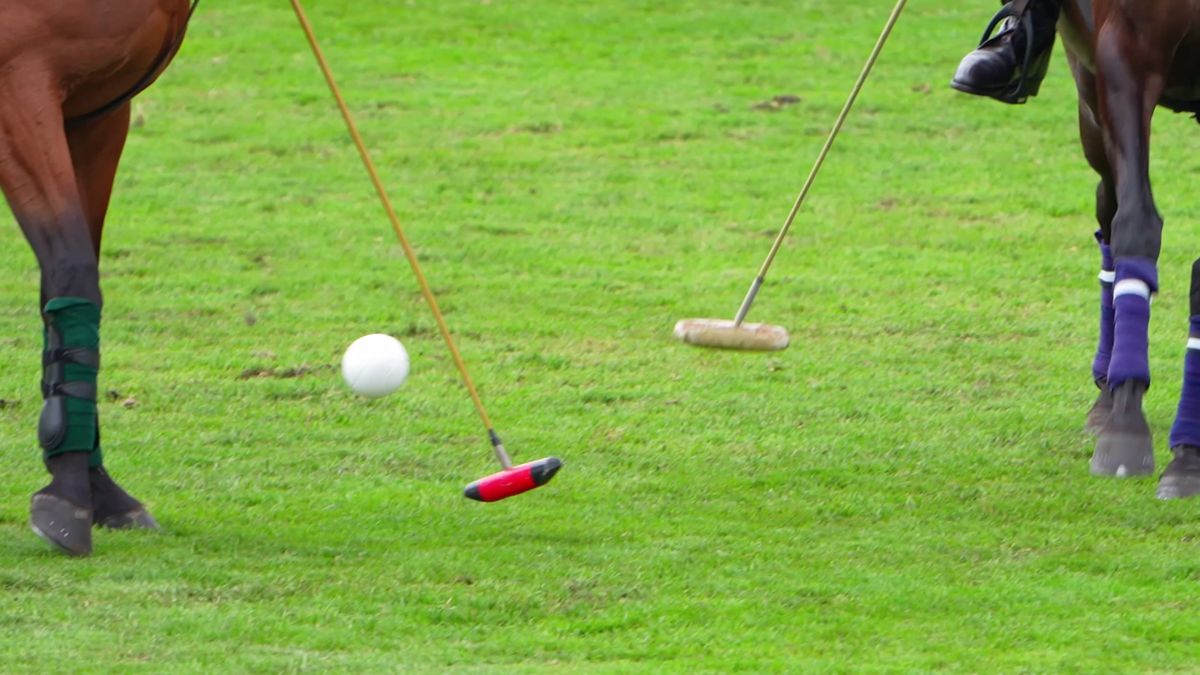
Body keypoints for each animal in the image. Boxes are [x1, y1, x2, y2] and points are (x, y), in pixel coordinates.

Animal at [0, 0, 196, 555]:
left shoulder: (97, 116)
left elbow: (59, 291)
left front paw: (99, 490)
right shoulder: (18, 86)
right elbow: (72, 268)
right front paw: (67, 493)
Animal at [1053, 0, 1200, 498]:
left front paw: (1188, 456)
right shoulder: (1126, 48)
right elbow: (1136, 224)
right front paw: (1126, 425)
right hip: (1089, 95)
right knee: (1111, 215)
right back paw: (1108, 395)